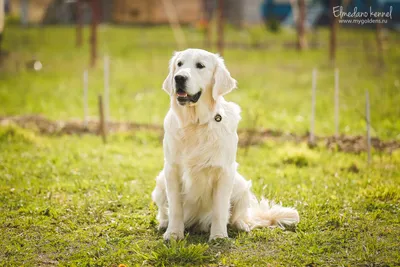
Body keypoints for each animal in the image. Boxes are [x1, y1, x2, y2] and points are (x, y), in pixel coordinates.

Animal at [152, 48, 298, 243]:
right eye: (179, 64)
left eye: (200, 65)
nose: (179, 78)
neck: (196, 124)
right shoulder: (172, 169)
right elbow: (175, 208)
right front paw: (174, 233)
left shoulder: (224, 171)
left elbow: (220, 209)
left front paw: (219, 236)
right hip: (161, 181)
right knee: (164, 211)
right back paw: (163, 223)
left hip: (241, 185)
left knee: (238, 216)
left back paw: (241, 225)